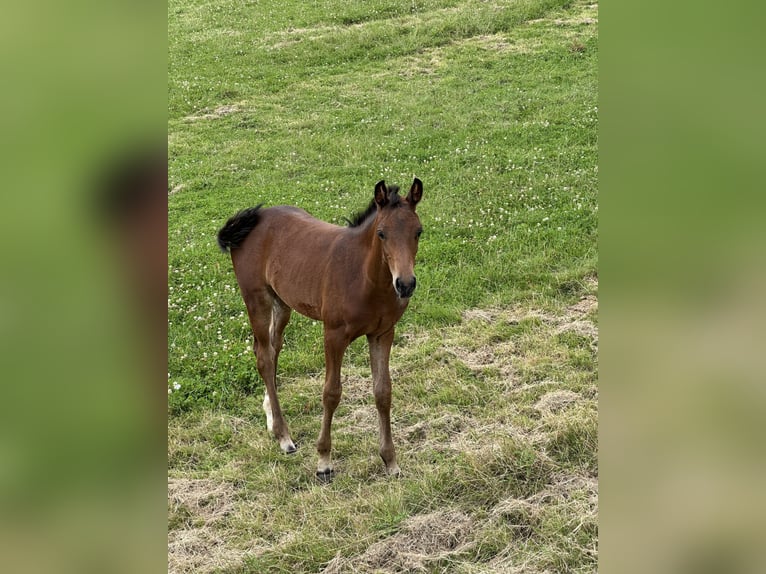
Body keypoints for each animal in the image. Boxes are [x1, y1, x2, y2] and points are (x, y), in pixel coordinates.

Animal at [218, 179, 426, 482]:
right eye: (381, 233)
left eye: (418, 231)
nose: (405, 284)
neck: (365, 278)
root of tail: (254, 218)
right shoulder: (334, 335)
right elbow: (331, 393)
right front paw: (324, 462)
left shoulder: (383, 333)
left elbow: (383, 392)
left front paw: (390, 461)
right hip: (256, 299)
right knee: (264, 358)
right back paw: (284, 437)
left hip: (282, 303)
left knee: (271, 348)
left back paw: (271, 415)